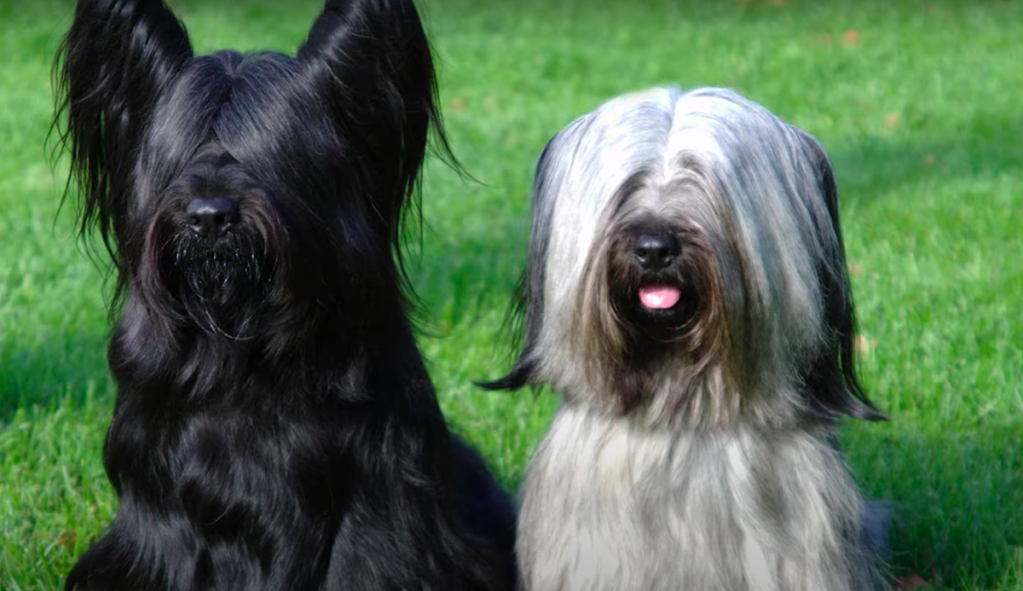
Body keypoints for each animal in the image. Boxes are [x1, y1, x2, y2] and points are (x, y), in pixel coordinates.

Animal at [54, 1, 515, 588]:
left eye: (269, 154)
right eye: (181, 154)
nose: (209, 217)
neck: (240, 354)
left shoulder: (378, 493)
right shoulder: (160, 498)